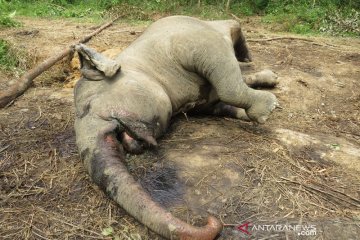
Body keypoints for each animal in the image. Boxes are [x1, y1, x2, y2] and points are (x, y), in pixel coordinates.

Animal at [74, 15, 278, 239]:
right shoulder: (200, 100)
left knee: (233, 29)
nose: (210, 219)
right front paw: (256, 110)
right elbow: (217, 104)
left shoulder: (191, 45)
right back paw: (271, 78)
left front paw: (269, 109)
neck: (138, 63)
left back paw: (249, 60)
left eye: (88, 106)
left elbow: (227, 85)